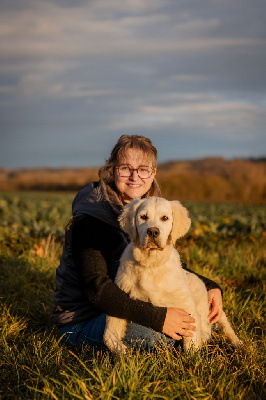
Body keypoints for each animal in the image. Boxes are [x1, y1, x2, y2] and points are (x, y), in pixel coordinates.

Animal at [104, 196, 241, 354]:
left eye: (165, 218)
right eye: (143, 217)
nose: (153, 232)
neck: (152, 263)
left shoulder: (186, 304)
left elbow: (191, 339)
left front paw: (192, 358)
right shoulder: (121, 293)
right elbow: (109, 331)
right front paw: (119, 349)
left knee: (224, 324)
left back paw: (239, 344)